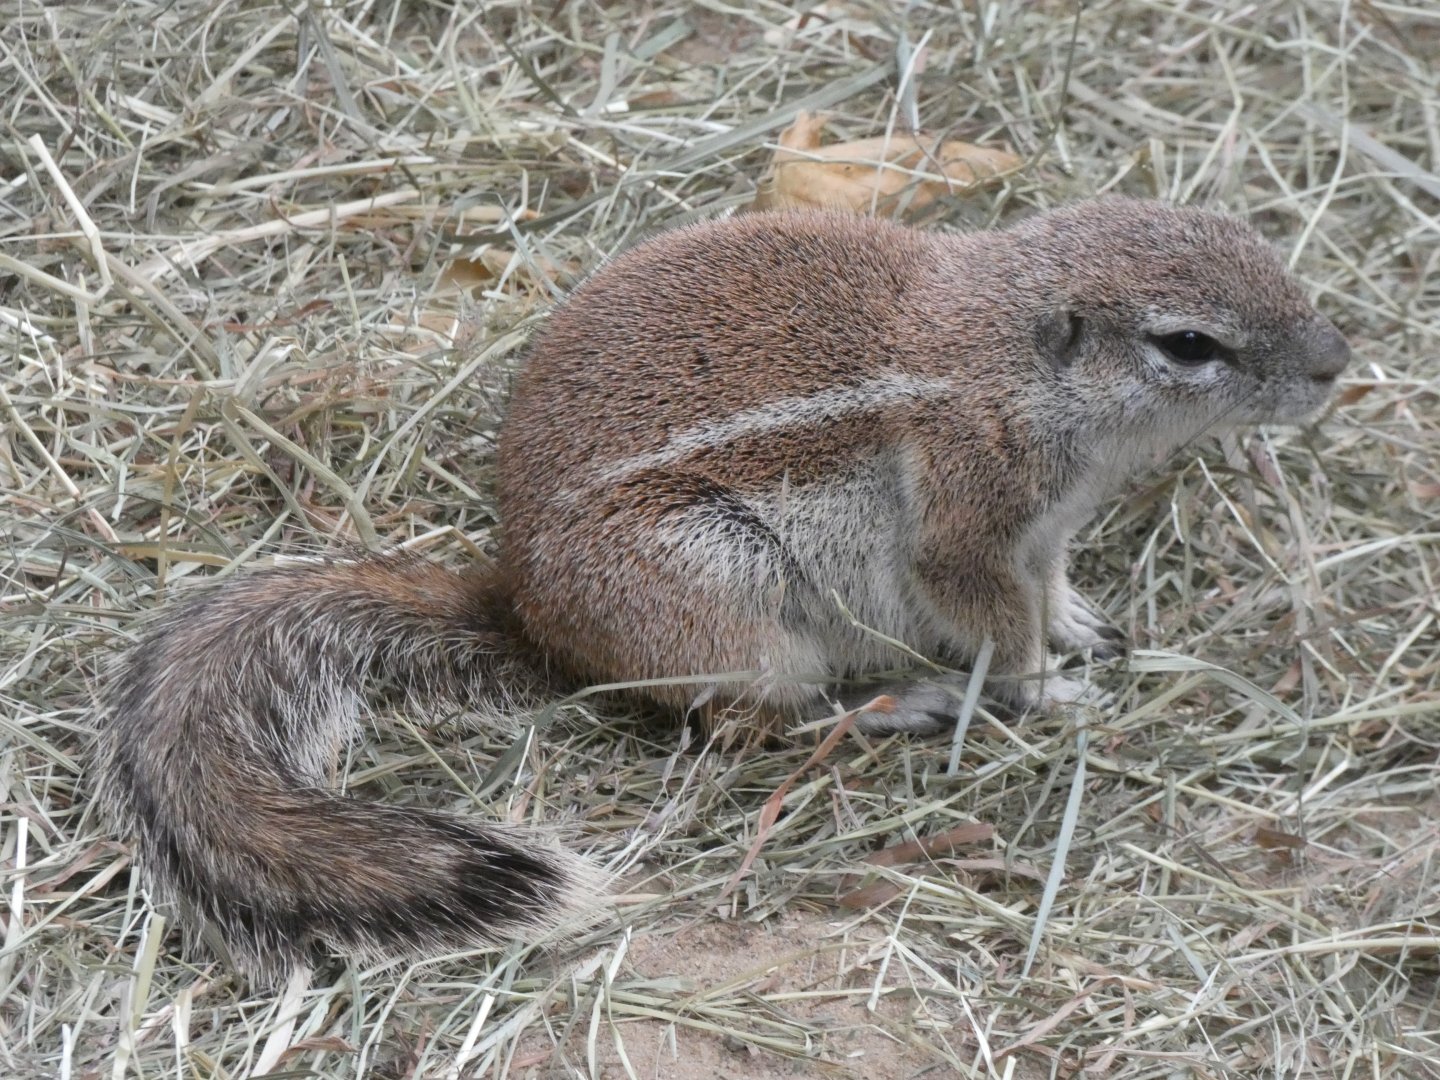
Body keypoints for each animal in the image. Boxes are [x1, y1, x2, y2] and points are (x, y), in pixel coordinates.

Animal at [94, 198, 1350, 980]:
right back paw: (892, 703)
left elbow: (1046, 590)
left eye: (1263, 246)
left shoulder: (1042, 532)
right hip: (734, 609)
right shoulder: (969, 519)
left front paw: (1082, 627)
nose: (1337, 361)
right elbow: (992, 621)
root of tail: (526, 615)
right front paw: (1051, 692)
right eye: (1187, 344)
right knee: (752, 730)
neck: (1004, 354)